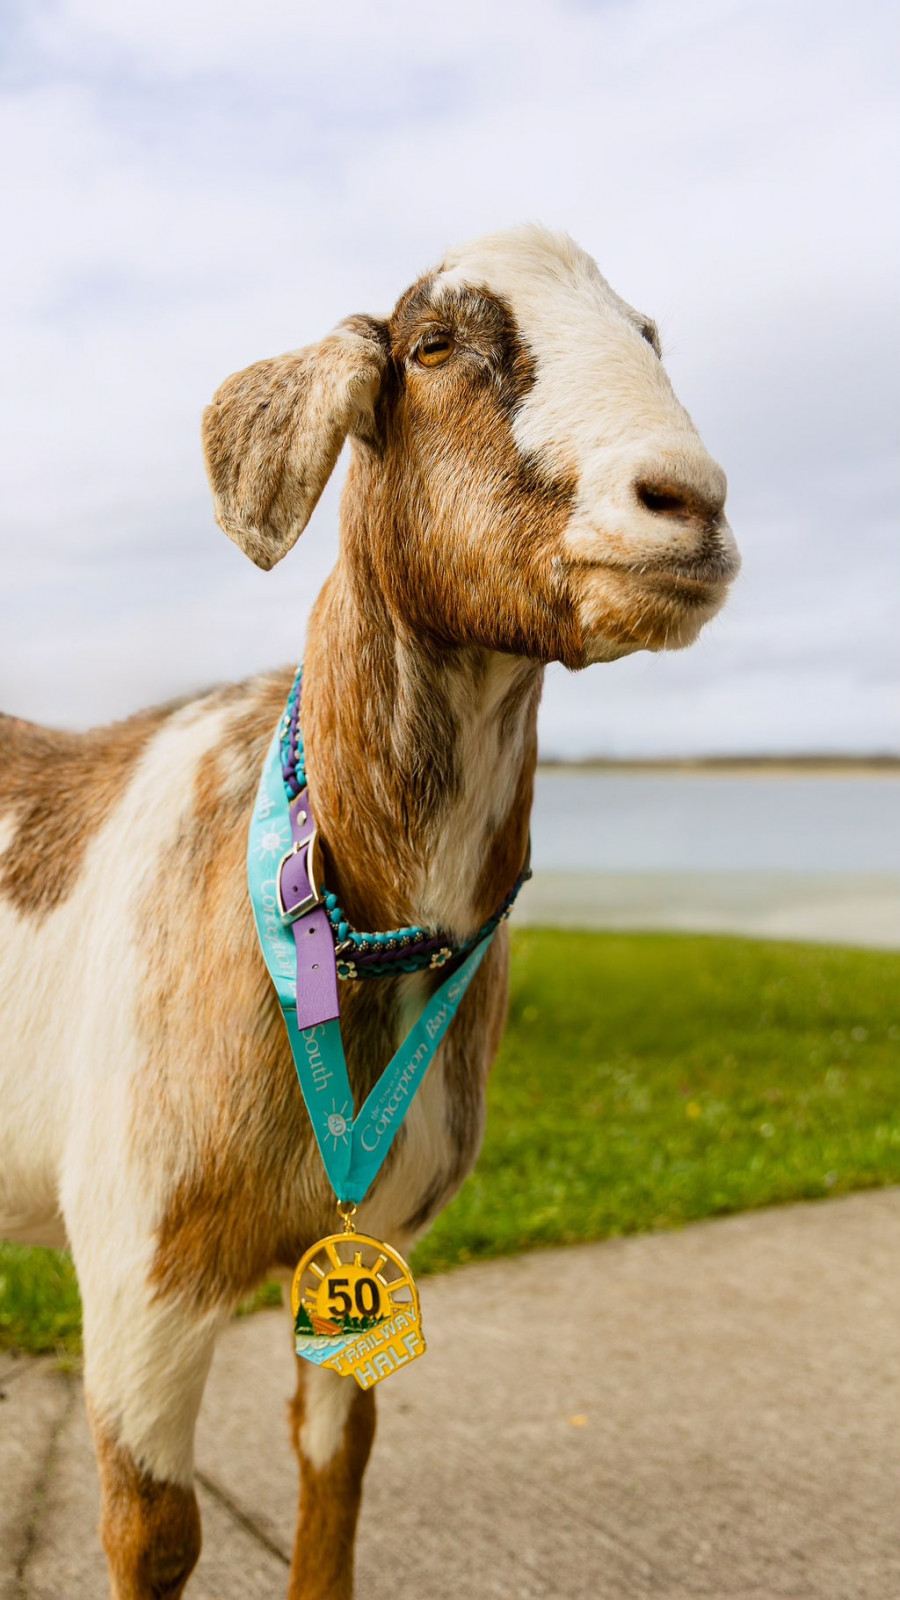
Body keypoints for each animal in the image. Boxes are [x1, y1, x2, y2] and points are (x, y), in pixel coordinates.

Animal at [0, 225, 738, 1598]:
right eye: (432, 346)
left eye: (648, 334)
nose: (691, 502)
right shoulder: (138, 1270)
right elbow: (153, 1534)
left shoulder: (373, 1242)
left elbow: (335, 1468)